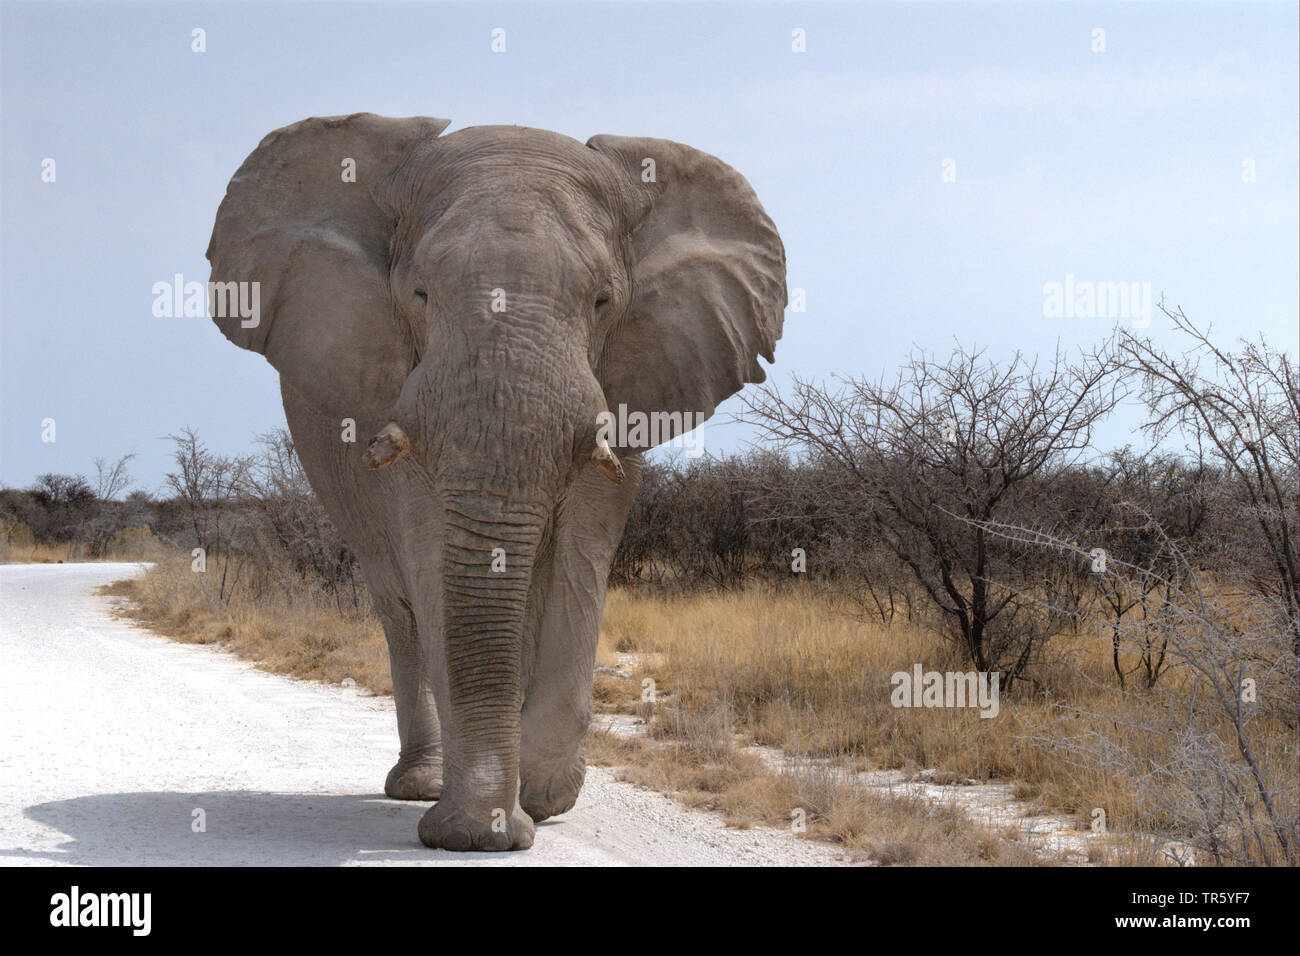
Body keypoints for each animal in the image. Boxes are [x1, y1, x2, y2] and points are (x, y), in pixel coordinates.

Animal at [208, 113, 785, 853]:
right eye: (419, 294)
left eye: (603, 301)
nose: (495, 826)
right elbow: (434, 565)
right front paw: (476, 830)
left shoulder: (630, 378)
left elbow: (581, 557)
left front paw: (539, 801)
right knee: (399, 605)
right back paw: (419, 785)